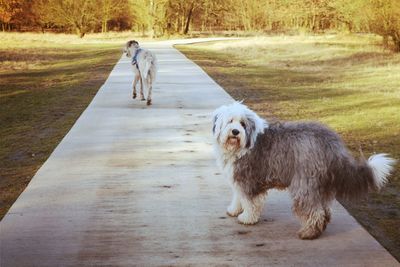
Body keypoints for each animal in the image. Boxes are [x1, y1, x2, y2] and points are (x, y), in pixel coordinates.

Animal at [211, 102, 396, 241]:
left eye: (243, 124)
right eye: (230, 121)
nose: (235, 132)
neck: (242, 146)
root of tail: (331, 143)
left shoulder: (248, 179)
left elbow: (250, 201)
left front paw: (247, 218)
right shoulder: (238, 179)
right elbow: (238, 197)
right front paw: (234, 210)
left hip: (304, 182)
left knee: (315, 211)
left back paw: (308, 233)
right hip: (321, 183)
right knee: (324, 210)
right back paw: (319, 228)